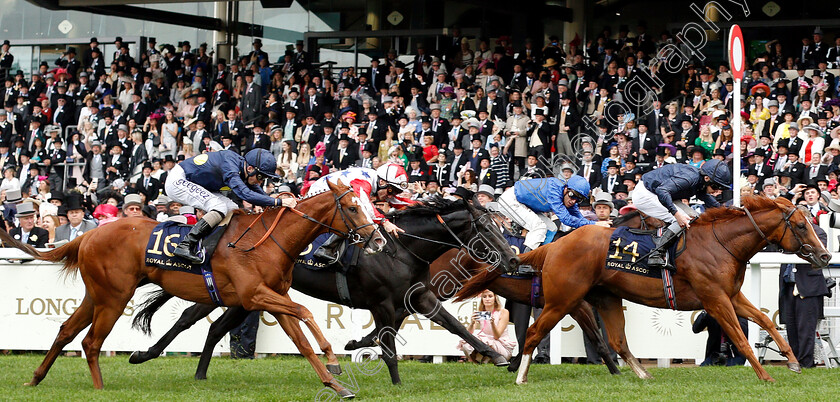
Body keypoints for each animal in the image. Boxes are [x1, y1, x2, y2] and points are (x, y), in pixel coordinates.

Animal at [0, 182, 384, 398]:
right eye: (353, 207)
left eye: (370, 206)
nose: (378, 240)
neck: (269, 240)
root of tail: (90, 233)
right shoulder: (254, 295)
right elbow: (305, 314)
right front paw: (333, 359)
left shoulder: (273, 298)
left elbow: (301, 341)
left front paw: (335, 384)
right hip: (113, 297)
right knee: (91, 342)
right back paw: (99, 390)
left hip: (97, 294)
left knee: (66, 331)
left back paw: (35, 379)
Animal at [126, 196, 520, 384]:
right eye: (486, 228)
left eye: (501, 225)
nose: (514, 259)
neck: (401, 248)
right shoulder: (381, 302)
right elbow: (388, 340)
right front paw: (394, 381)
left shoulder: (418, 297)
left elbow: (452, 325)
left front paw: (496, 355)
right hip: (238, 293)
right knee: (189, 319)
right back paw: (145, 354)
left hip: (247, 297)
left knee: (215, 327)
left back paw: (198, 372)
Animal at [460, 196, 832, 384]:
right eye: (801, 226)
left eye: (814, 224)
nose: (826, 255)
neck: (722, 243)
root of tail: (555, 244)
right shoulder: (714, 298)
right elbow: (740, 336)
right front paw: (766, 376)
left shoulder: (731, 295)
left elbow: (765, 322)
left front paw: (794, 361)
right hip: (562, 299)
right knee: (536, 331)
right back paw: (521, 376)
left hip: (604, 298)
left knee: (616, 340)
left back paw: (642, 374)